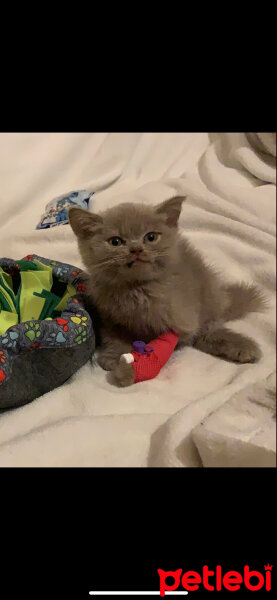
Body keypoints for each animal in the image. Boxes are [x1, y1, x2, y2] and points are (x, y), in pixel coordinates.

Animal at [68, 195, 266, 386]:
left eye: (150, 237)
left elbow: (166, 344)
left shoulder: (179, 323)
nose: (136, 249)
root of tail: (223, 298)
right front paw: (114, 355)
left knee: (207, 332)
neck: (136, 288)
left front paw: (130, 368)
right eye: (115, 241)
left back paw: (242, 347)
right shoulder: (109, 316)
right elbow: (114, 335)